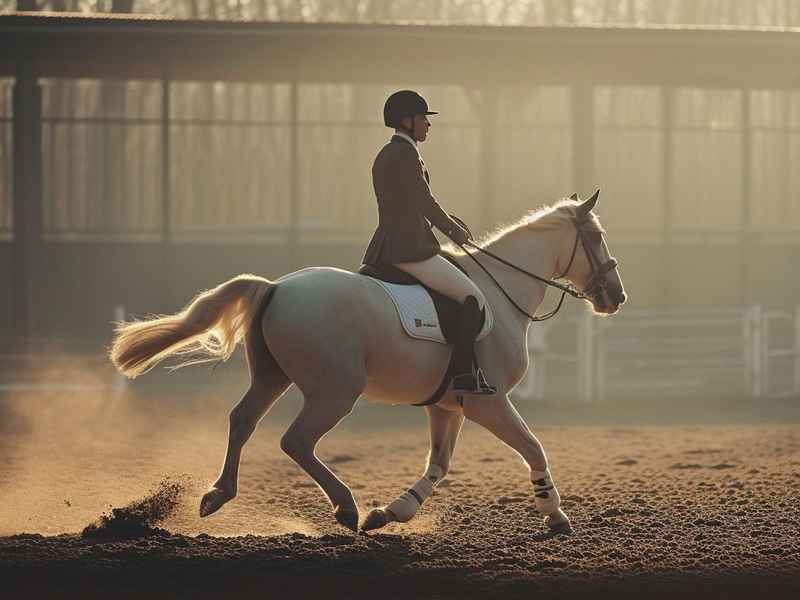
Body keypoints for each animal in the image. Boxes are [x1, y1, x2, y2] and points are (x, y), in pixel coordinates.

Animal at [109, 191, 626, 534]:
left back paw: (219, 495)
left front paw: (393, 512)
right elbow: (534, 449)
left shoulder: (448, 405)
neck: (501, 292)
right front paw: (556, 515)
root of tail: (276, 287)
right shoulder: (488, 402)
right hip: (335, 391)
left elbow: (438, 465)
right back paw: (344, 507)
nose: (616, 297)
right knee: (296, 440)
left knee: (242, 421)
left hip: (275, 377)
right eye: (596, 237)